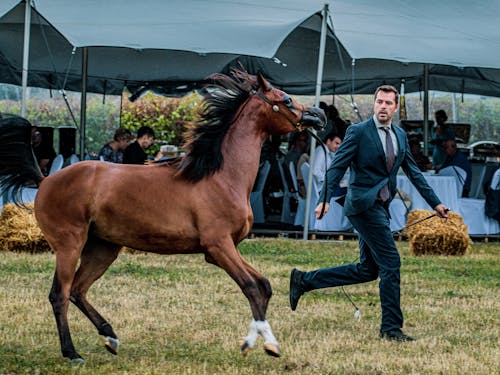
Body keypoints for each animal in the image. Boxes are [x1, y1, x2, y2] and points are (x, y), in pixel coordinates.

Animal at [0, 70, 326, 364]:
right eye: (285, 99)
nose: (319, 115)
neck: (221, 177)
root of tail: (45, 180)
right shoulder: (218, 246)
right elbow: (251, 287)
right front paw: (263, 345)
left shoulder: (226, 248)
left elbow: (264, 285)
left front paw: (264, 340)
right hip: (70, 244)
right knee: (60, 294)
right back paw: (72, 353)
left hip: (103, 248)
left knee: (78, 291)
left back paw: (110, 337)